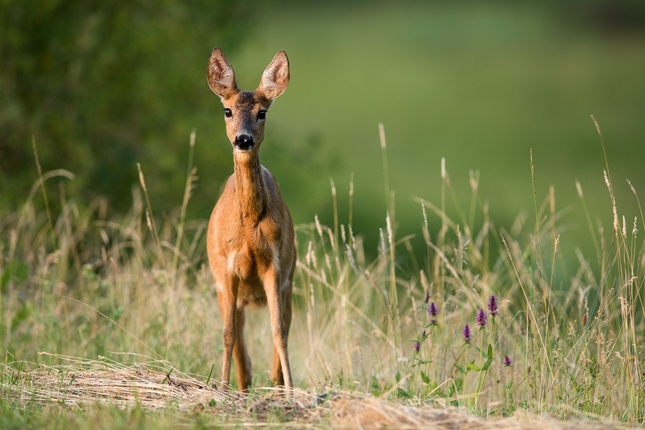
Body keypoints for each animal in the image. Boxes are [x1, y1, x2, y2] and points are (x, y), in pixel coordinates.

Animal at [205, 47, 296, 394]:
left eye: (263, 112)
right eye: (227, 110)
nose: (243, 140)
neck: (247, 227)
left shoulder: (275, 266)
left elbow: (278, 333)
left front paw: (291, 389)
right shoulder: (226, 270)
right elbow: (228, 334)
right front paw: (221, 386)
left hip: (289, 282)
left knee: (282, 327)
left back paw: (275, 385)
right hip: (225, 289)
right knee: (239, 341)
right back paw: (241, 387)